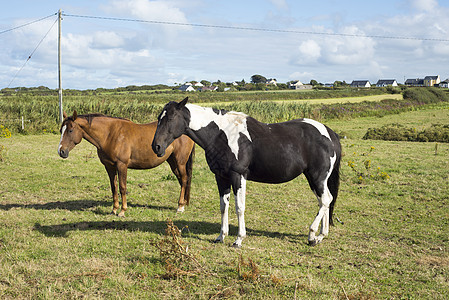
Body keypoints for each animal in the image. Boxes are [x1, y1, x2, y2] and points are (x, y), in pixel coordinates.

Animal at [57, 110, 194, 216]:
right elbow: (114, 187)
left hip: (180, 162)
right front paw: (114, 210)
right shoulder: (109, 166)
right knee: (181, 180)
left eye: (70, 130)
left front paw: (122, 211)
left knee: (184, 179)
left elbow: (122, 187)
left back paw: (180, 207)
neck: (110, 134)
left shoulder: (122, 165)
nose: (61, 151)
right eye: (60, 130)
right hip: (172, 161)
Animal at [150, 97, 340, 247]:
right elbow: (223, 206)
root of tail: (329, 133)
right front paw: (221, 236)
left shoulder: (238, 176)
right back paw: (321, 235)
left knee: (325, 200)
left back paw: (312, 235)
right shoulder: (221, 177)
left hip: (317, 177)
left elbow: (239, 207)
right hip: (314, 178)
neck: (221, 134)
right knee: (325, 201)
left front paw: (239, 239)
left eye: (171, 117)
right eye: (159, 118)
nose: (156, 147)